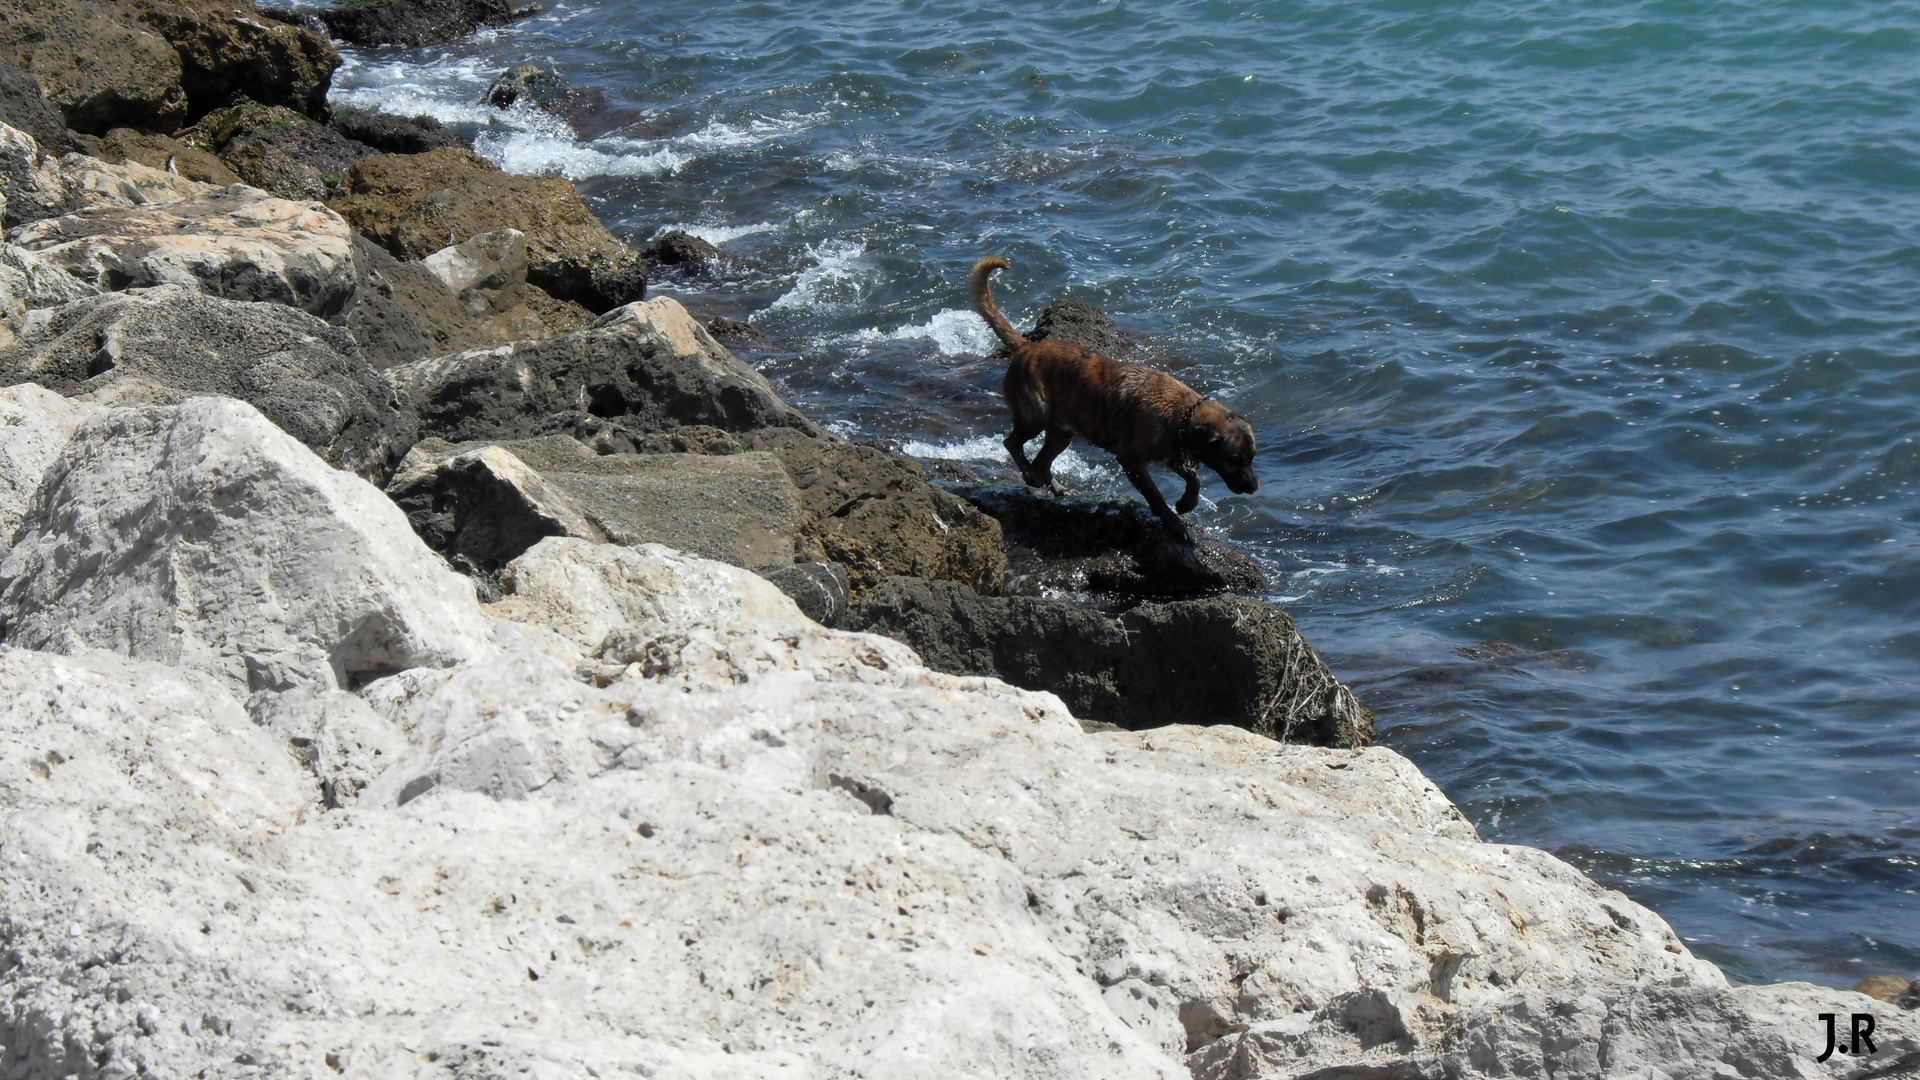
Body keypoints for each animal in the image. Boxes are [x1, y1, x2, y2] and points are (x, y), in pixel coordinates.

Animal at [975, 251, 1259, 538]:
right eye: (1235, 459)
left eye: (1252, 457)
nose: (1255, 486)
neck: (1182, 413)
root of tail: (1026, 347)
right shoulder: (1132, 461)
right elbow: (1155, 495)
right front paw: (1173, 522)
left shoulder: (1175, 453)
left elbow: (1195, 478)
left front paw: (1186, 503)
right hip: (1035, 415)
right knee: (1012, 443)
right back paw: (1029, 474)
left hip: (1062, 432)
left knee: (1042, 462)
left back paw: (1057, 487)